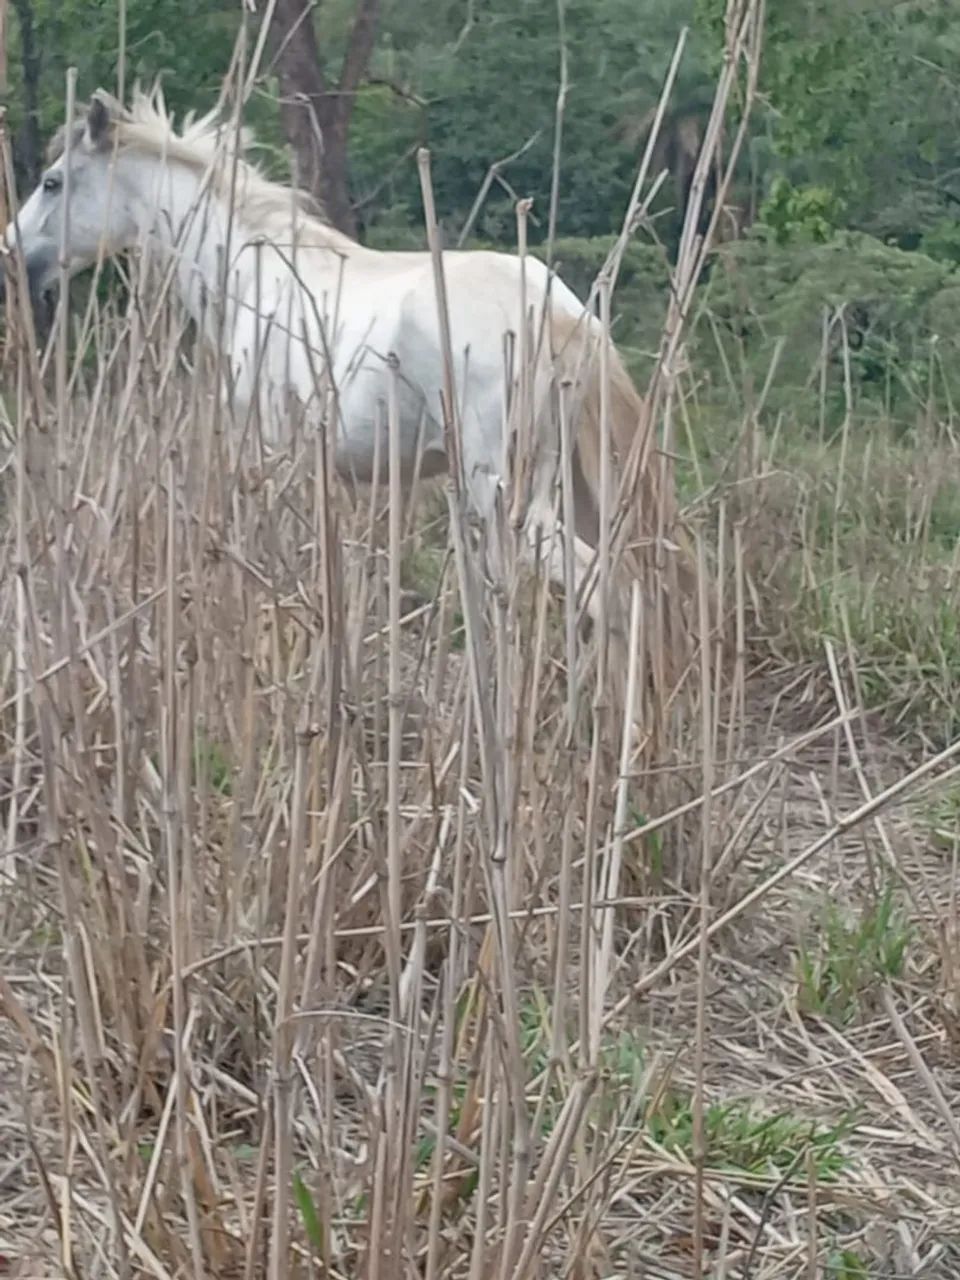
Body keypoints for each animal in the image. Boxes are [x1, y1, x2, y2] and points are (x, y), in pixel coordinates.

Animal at [0, 86, 694, 747]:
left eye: (53, 182)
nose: (12, 254)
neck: (254, 278)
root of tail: (564, 318)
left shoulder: (276, 462)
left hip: (509, 499)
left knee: (609, 593)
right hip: (581, 495)